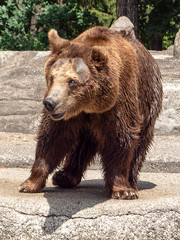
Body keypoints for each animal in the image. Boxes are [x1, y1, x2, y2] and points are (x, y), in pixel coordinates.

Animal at [19, 25, 162, 199]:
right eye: (52, 77)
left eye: (72, 81)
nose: (49, 103)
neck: (89, 105)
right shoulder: (68, 116)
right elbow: (52, 138)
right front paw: (30, 184)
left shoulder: (120, 101)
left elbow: (121, 138)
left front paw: (123, 190)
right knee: (81, 144)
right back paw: (64, 177)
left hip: (149, 101)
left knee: (140, 144)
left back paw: (131, 182)